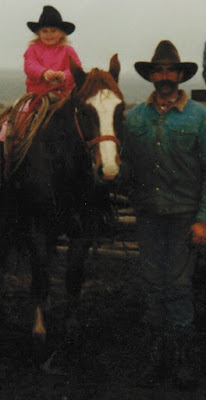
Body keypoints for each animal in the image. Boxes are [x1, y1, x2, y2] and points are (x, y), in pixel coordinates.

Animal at [0, 54, 124, 350]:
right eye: (84, 111)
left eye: (120, 108)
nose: (109, 171)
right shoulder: (34, 225)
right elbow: (41, 274)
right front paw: (39, 330)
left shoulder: (84, 228)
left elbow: (73, 277)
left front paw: (70, 328)